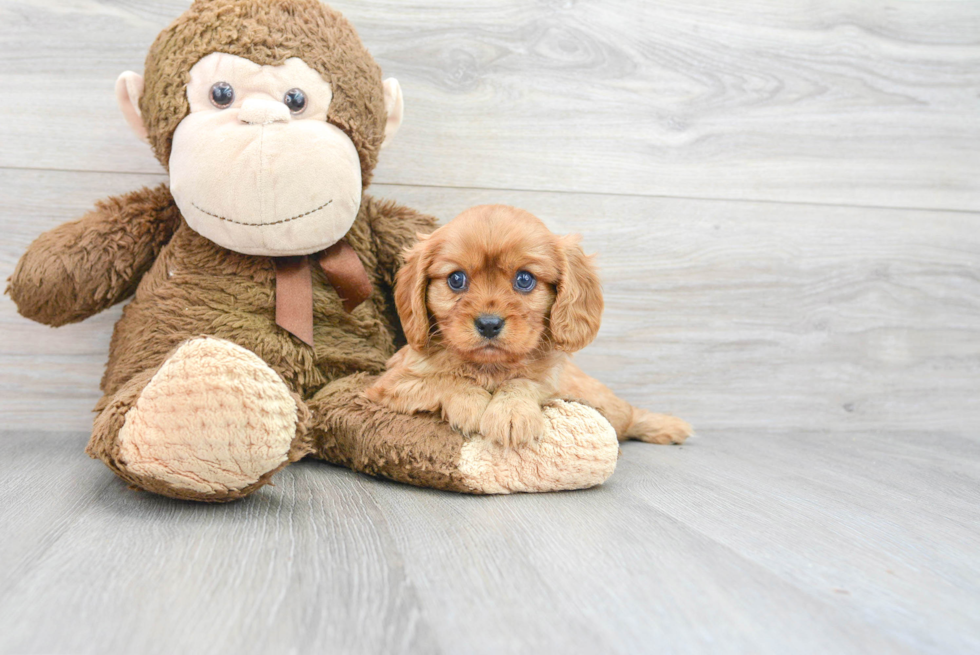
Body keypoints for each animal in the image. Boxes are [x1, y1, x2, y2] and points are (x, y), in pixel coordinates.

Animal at [364, 205, 692, 452]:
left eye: (524, 279)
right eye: (456, 279)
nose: (489, 324)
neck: (490, 368)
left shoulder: (552, 383)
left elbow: (522, 382)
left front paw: (511, 414)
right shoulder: (389, 383)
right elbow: (445, 379)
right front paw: (472, 403)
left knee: (628, 416)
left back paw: (668, 426)